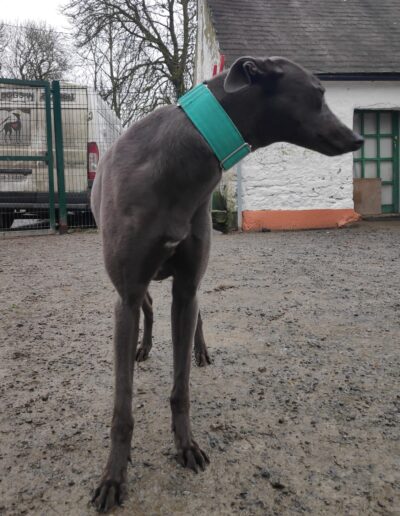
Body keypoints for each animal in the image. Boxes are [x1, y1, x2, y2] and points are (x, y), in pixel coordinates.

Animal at [90, 56, 363, 511]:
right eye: (319, 93)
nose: (358, 138)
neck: (178, 159)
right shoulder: (126, 293)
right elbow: (122, 406)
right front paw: (113, 477)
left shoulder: (186, 287)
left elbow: (181, 385)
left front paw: (186, 445)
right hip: (135, 286)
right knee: (148, 308)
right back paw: (143, 347)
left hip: (189, 285)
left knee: (196, 315)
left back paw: (199, 351)